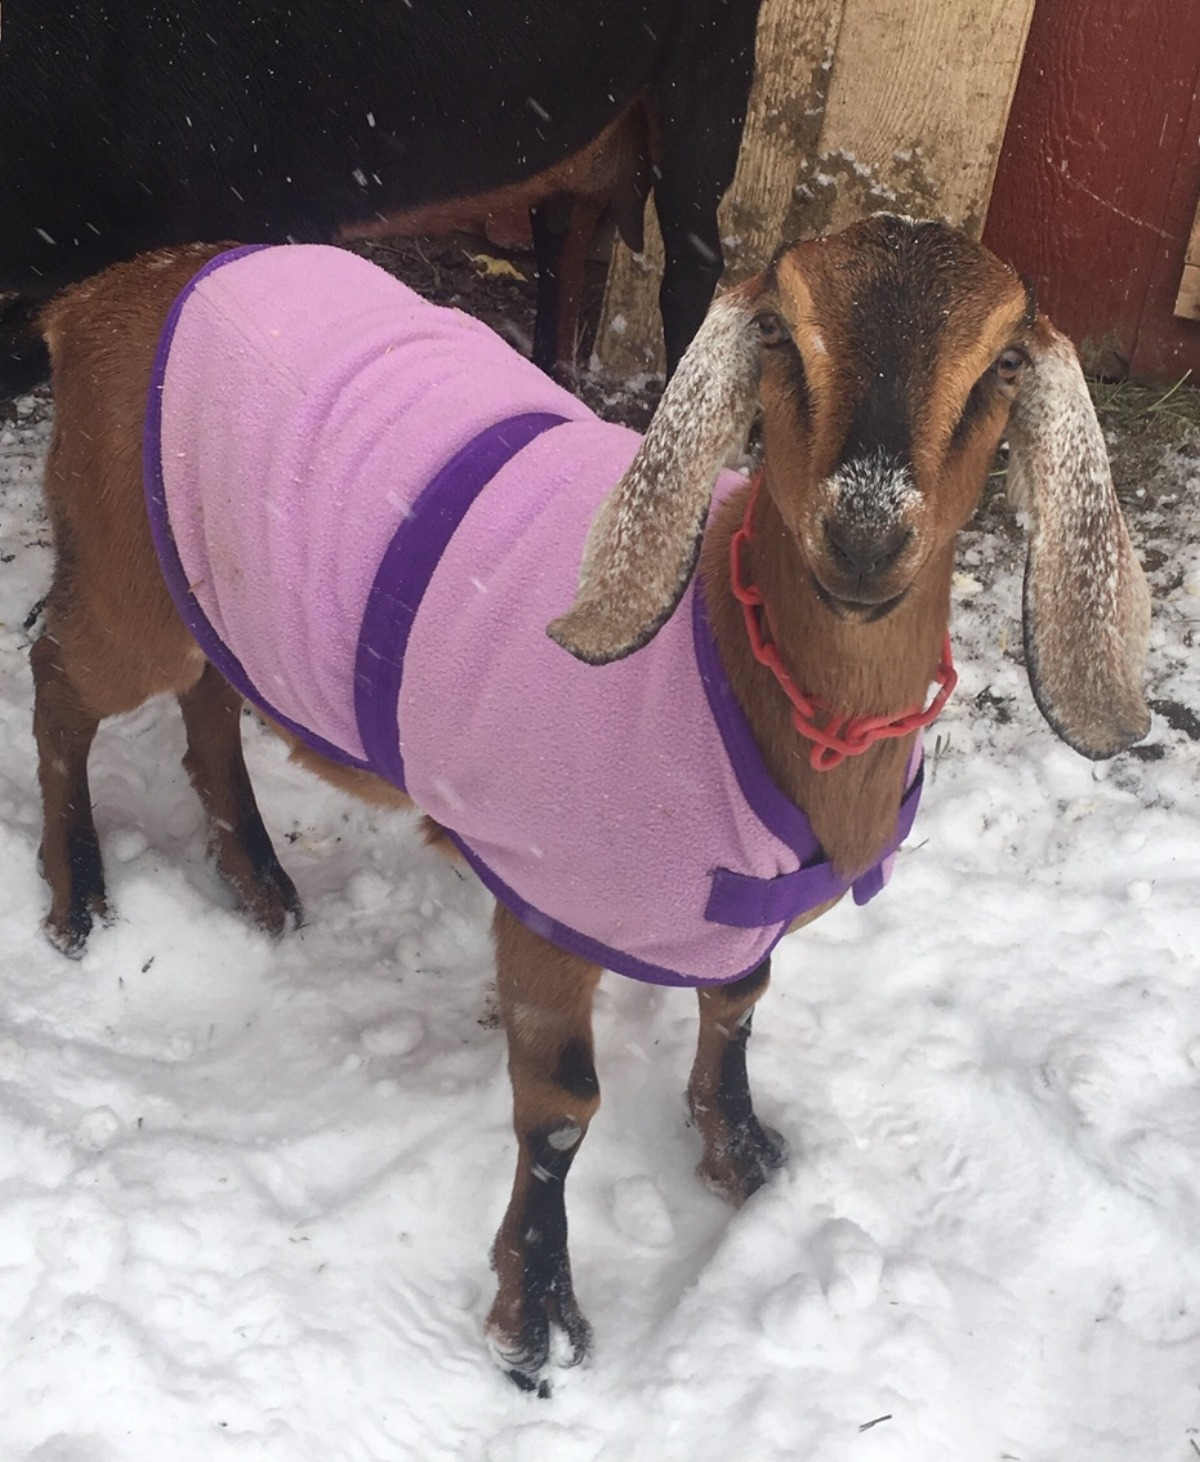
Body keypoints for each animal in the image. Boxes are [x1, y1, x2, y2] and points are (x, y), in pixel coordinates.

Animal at [32, 216, 1150, 1394]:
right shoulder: (545, 900)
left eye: (1006, 362)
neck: (725, 658)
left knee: (206, 696)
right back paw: (80, 902)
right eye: (776, 331)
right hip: (124, 574)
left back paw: (259, 881)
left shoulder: (728, 914)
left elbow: (738, 1004)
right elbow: (563, 1109)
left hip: (206, 596)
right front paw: (536, 1324)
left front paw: (743, 1156)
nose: (864, 531)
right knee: (60, 676)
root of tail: (98, 297)